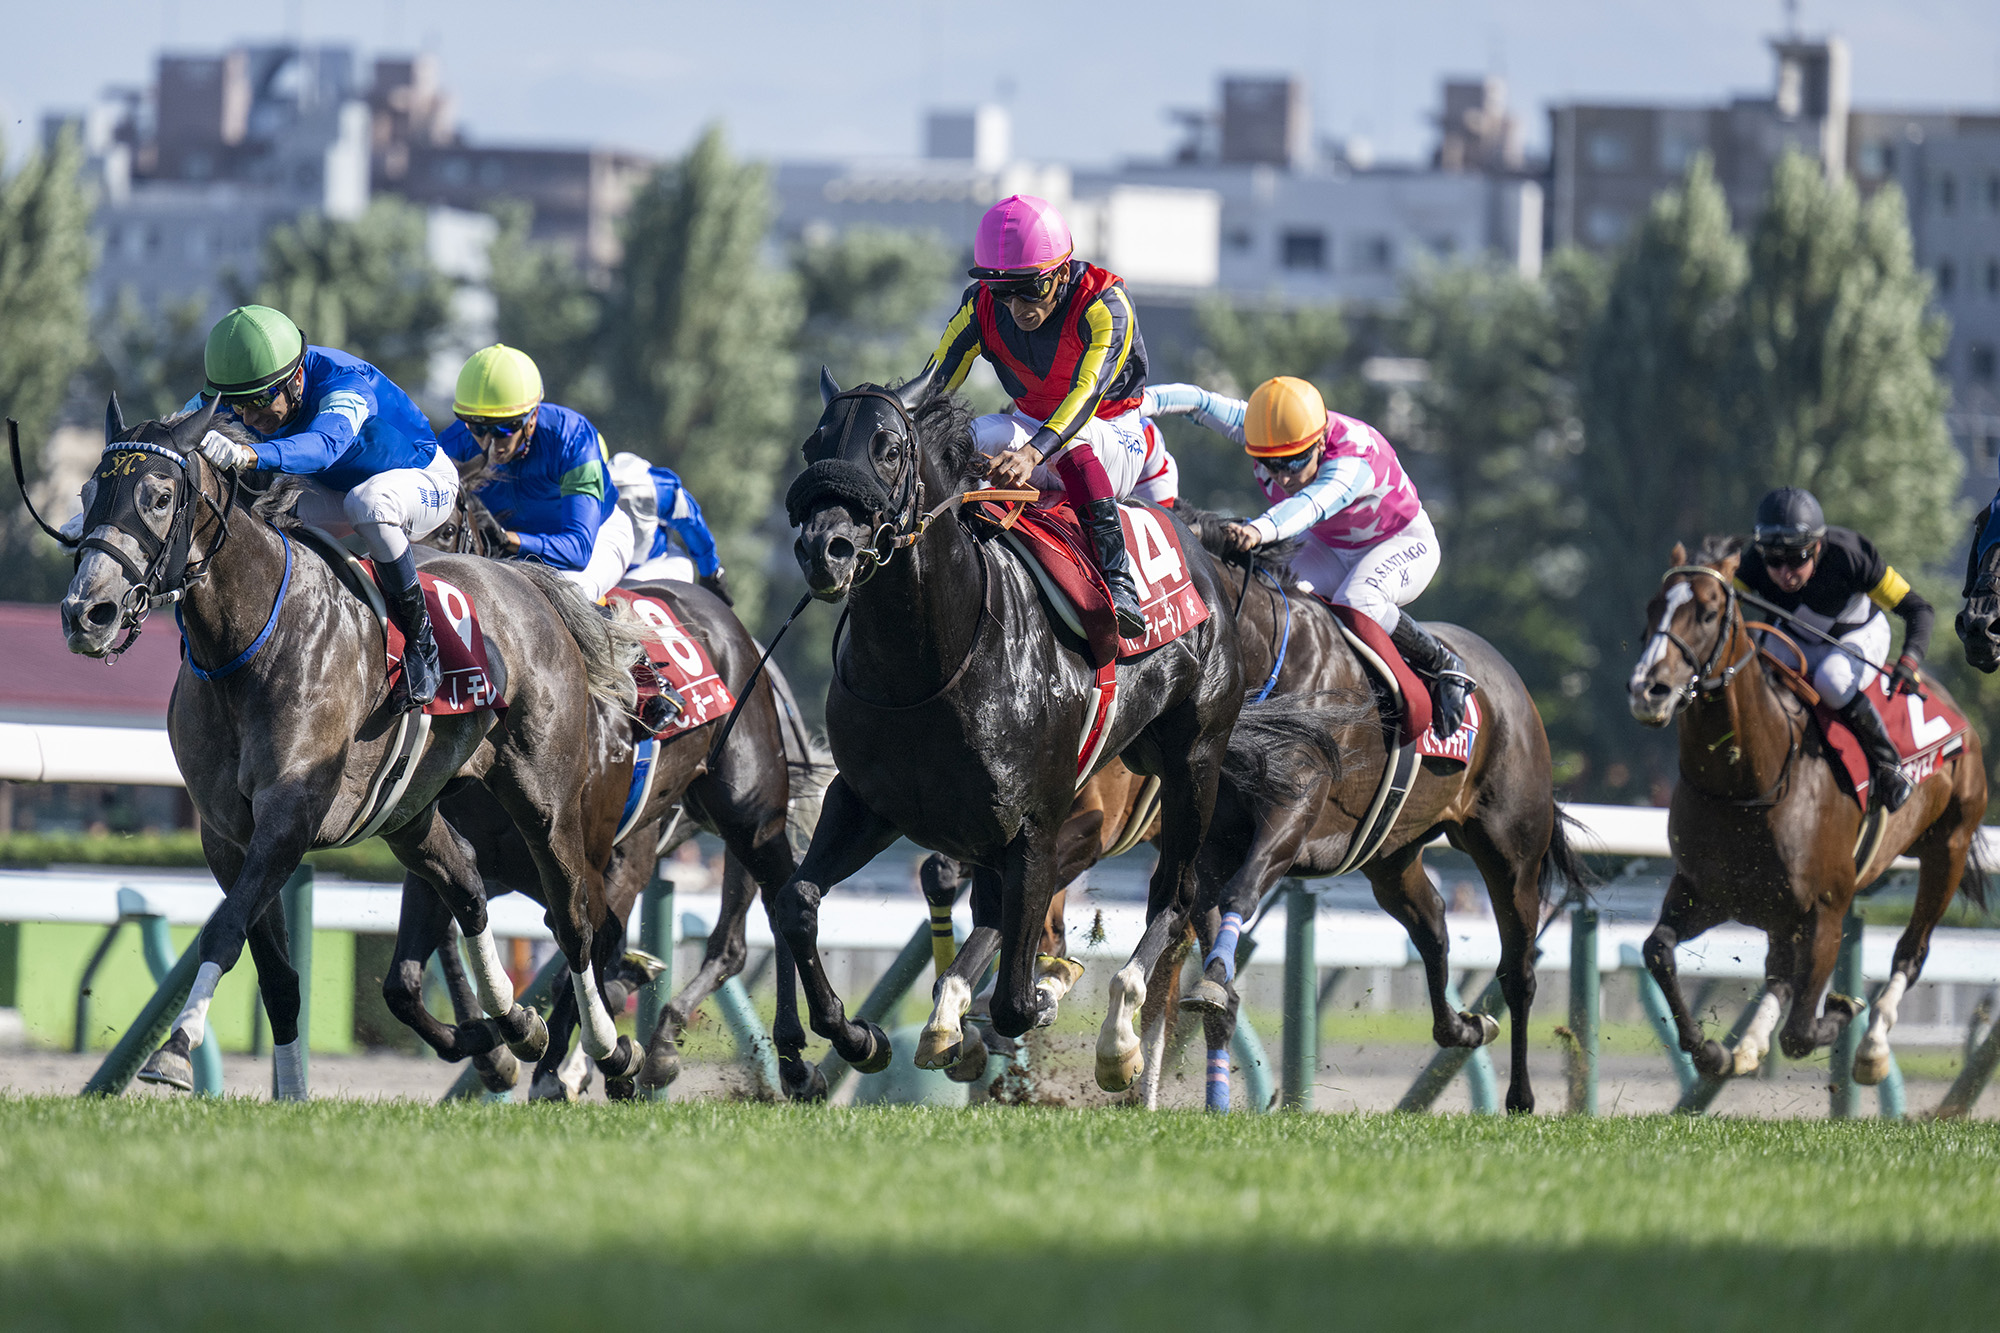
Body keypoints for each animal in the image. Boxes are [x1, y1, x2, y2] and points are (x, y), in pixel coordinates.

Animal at [56, 402, 648, 1088]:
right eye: (87, 495)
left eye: (157, 496)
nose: (87, 613)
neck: (248, 643)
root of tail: (526, 581)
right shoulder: (228, 835)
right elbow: (277, 977)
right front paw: (289, 1093)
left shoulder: (288, 817)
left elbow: (225, 930)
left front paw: (175, 1052)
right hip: (409, 811)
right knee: (467, 885)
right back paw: (515, 1027)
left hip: (545, 802)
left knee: (575, 918)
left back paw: (608, 1050)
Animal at [776, 368, 1232, 1096]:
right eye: (812, 445)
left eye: (888, 450)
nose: (826, 549)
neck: (926, 664)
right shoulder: (870, 800)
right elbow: (797, 899)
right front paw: (858, 1035)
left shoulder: (1038, 825)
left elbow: (1019, 1000)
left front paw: (1041, 994)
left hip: (1195, 765)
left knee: (1176, 895)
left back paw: (1119, 1040)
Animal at [1624, 536, 1984, 1080]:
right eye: (1652, 608)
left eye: (1707, 612)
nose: (1649, 690)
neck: (1748, 785)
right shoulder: (1703, 893)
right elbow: (1658, 950)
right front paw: (1708, 1049)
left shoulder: (1827, 910)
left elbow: (1799, 1034)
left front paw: (1843, 1007)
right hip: (1779, 910)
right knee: (1779, 971)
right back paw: (1749, 1046)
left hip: (1949, 848)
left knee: (1911, 950)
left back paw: (1872, 1047)